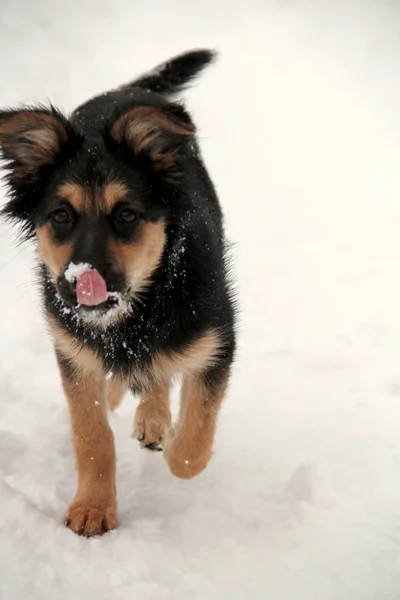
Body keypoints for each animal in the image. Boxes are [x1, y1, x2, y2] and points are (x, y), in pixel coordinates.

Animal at [0, 50, 236, 536]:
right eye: (61, 216)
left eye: (127, 215)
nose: (82, 280)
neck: (136, 309)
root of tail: (125, 93)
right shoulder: (72, 351)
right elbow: (92, 436)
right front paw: (92, 507)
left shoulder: (216, 344)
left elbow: (192, 448)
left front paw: (171, 440)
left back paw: (153, 417)